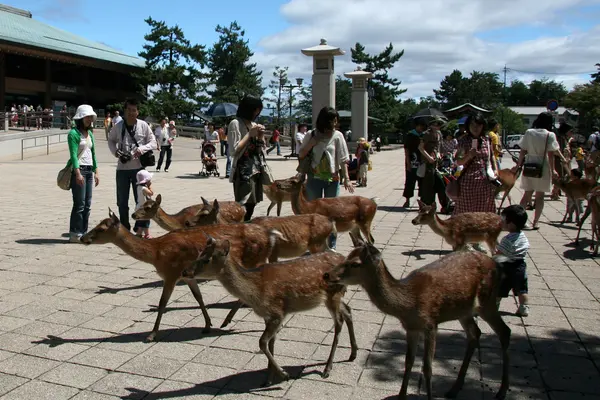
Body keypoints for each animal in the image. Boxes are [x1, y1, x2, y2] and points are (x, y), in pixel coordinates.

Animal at [80, 208, 284, 342]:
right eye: (96, 224)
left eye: (101, 229)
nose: (82, 237)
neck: (157, 253)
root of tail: (271, 236)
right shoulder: (187, 276)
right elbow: (198, 297)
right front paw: (207, 325)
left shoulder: (171, 273)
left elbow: (162, 303)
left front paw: (151, 334)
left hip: (253, 260)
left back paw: (228, 320)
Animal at [183, 236, 358, 386]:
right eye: (199, 254)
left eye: (206, 259)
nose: (185, 272)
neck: (256, 292)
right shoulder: (269, 316)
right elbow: (271, 343)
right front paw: (268, 378)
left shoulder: (277, 312)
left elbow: (262, 342)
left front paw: (283, 374)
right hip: (337, 295)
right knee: (348, 311)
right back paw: (352, 354)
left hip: (333, 294)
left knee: (339, 322)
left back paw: (327, 369)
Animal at [184, 198, 332, 260]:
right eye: (198, 210)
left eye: (204, 214)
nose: (187, 222)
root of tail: (330, 223)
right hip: (321, 243)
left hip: (316, 244)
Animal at [324, 233, 510, 398]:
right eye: (347, 256)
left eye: (355, 263)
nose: (327, 274)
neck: (409, 304)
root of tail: (496, 265)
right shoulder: (411, 328)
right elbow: (408, 362)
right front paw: (401, 396)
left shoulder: (431, 324)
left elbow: (427, 368)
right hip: (463, 310)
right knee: (475, 333)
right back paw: (454, 389)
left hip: (488, 301)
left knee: (504, 331)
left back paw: (501, 391)